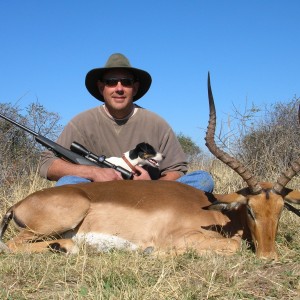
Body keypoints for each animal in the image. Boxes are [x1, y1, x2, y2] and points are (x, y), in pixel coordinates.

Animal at [0, 74, 300, 258]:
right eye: (250, 209)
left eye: (280, 210)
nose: (269, 256)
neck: (216, 214)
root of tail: (18, 204)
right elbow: (235, 245)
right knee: (10, 245)